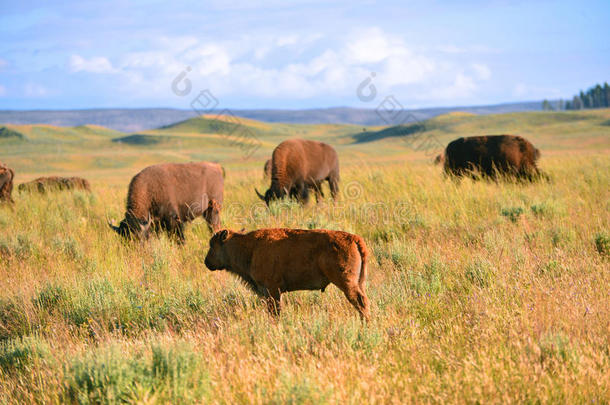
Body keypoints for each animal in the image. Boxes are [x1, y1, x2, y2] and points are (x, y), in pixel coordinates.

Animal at [204, 227, 368, 318]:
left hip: (347, 283)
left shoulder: (272, 290)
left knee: (361, 302)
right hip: (359, 283)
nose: (207, 262)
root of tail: (355, 239)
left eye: (212, 245)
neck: (250, 248)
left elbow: (275, 311)